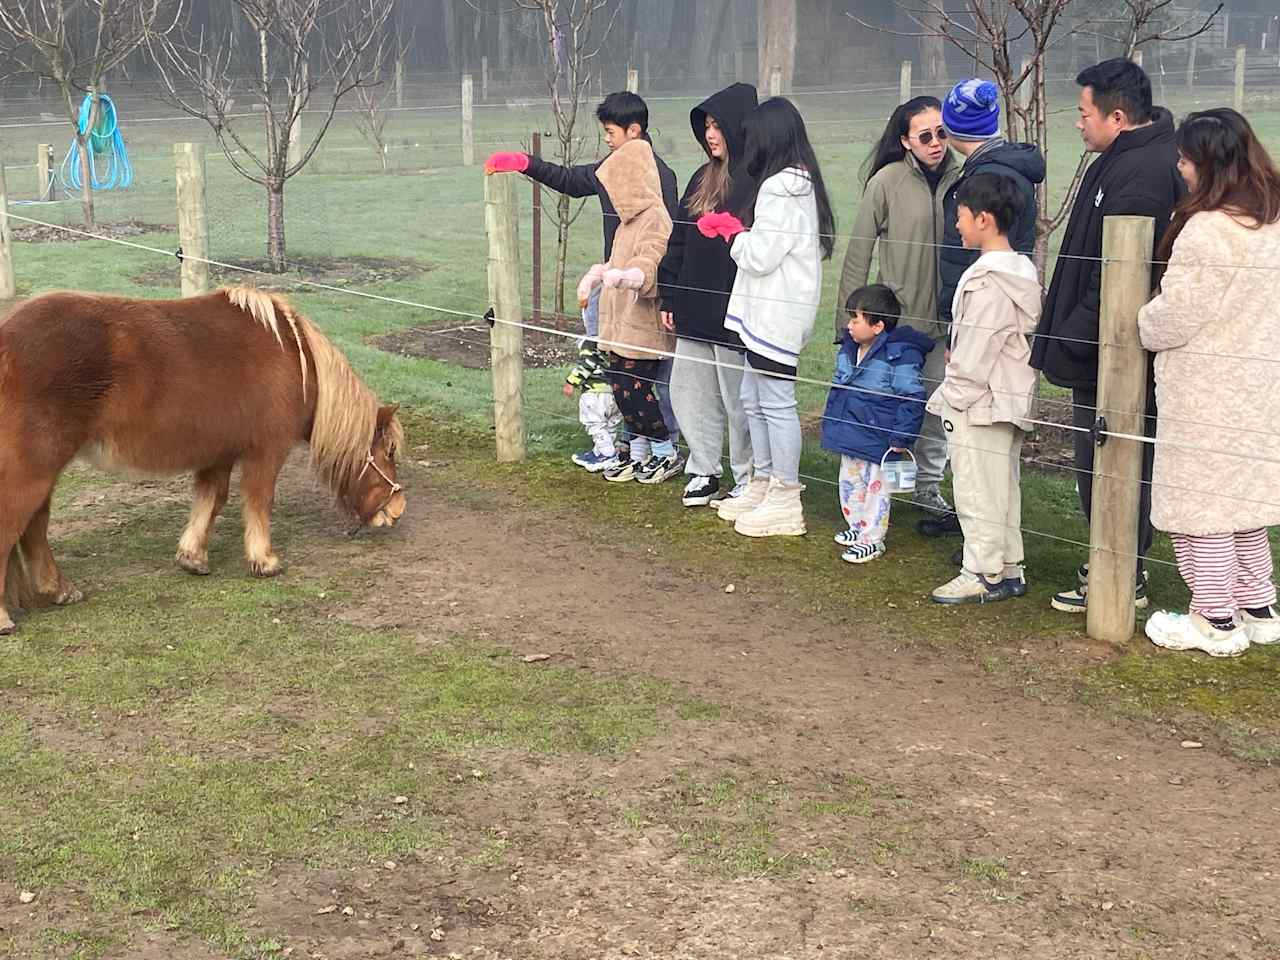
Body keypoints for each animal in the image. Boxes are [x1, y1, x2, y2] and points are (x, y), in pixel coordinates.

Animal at [0, 284, 404, 640]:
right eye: (390, 452)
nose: (397, 510)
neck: (294, 359)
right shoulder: (266, 451)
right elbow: (258, 501)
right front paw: (265, 561)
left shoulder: (219, 453)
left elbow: (211, 500)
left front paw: (192, 557)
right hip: (32, 470)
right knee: (15, 525)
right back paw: (6, 618)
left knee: (34, 527)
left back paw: (59, 590)